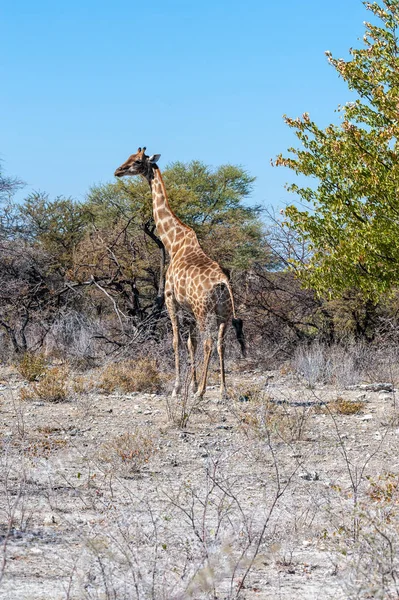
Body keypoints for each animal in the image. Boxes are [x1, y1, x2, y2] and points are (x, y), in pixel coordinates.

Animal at [115, 146, 245, 398]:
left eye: (137, 161)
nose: (118, 170)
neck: (172, 243)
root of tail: (224, 282)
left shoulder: (170, 299)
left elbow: (176, 341)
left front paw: (178, 388)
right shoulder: (187, 308)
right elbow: (190, 342)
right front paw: (190, 384)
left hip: (204, 311)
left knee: (208, 342)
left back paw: (202, 392)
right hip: (223, 313)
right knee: (221, 343)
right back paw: (222, 390)